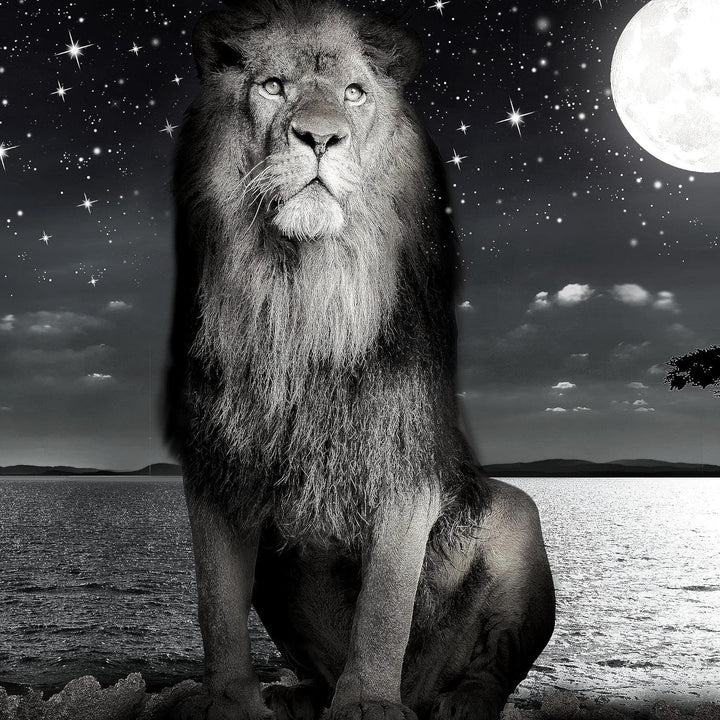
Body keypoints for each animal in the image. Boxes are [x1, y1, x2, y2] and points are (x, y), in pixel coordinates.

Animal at [163, 2, 555, 719]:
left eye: (354, 93)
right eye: (273, 87)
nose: (320, 138)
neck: (300, 296)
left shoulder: (402, 458)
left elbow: (384, 605)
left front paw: (369, 702)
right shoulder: (215, 465)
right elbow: (216, 603)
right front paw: (230, 703)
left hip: (517, 515)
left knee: (492, 666)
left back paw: (459, 701)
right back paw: (296, 695)